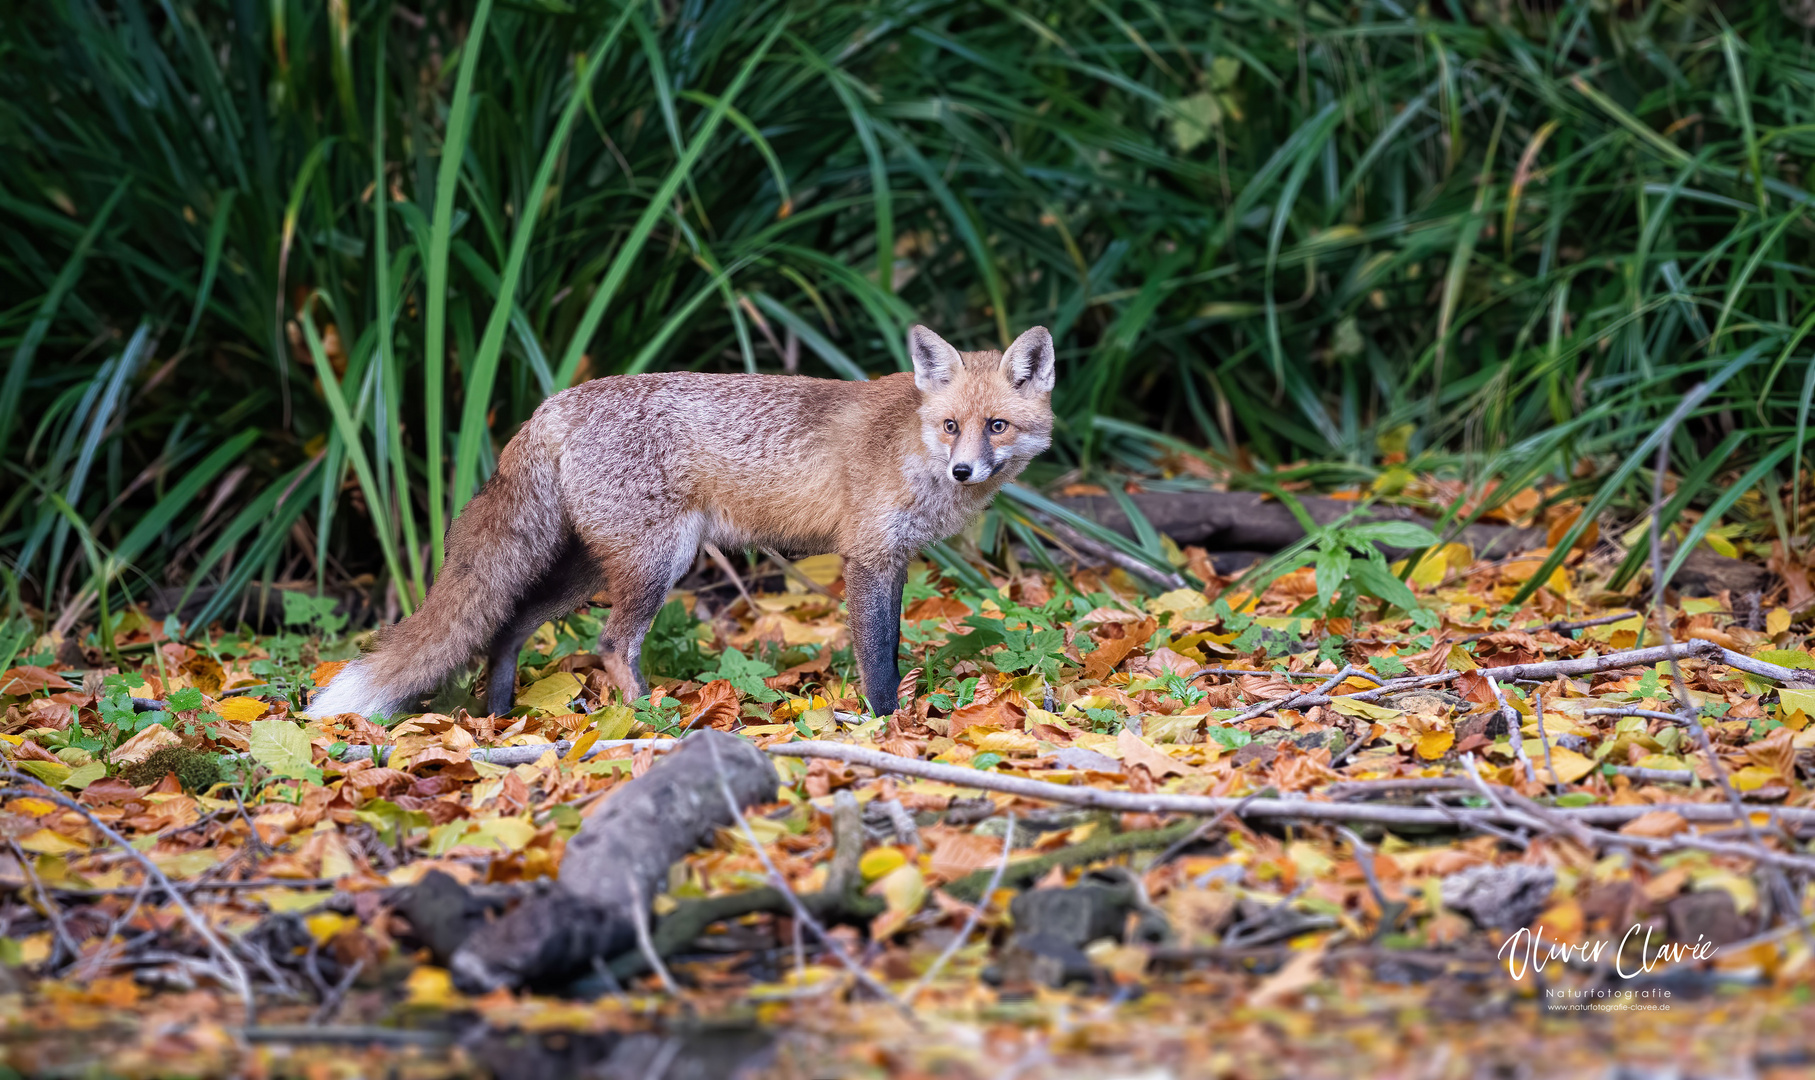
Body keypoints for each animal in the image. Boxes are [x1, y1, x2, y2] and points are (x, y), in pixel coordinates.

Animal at [304, 324, 1059, 722]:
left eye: (996, 426)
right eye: (951, 426)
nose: (965, 471)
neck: (909, 442)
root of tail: (554, 404)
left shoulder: (894, 561)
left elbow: (892, 645)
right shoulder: (867, 558)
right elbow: (877, 658)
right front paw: (885, 726)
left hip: (589, 568)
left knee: (508, 624)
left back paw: (500, 715)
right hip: (656, 564)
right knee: (611, 644)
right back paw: (649, 720)